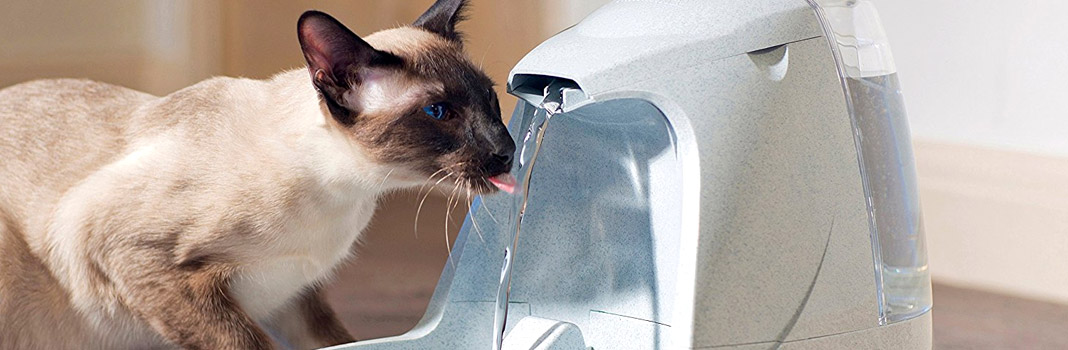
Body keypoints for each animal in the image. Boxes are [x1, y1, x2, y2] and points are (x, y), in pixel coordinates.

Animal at [0, 1, 516, 347]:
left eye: (490, 99)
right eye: (439, 112)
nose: (506, 151)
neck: (345, 194)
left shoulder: (291, 297)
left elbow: (336, 340)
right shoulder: (126, 249)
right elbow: (246, 343)